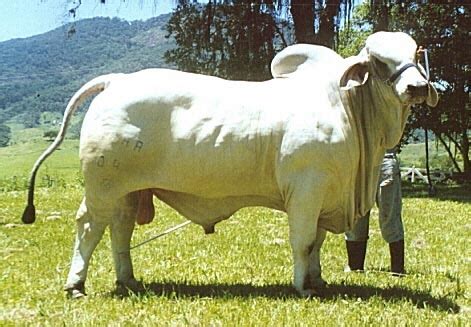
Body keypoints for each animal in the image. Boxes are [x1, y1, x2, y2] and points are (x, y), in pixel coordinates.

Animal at [22, 32, 438, 298]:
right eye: (378, 60)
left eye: (416, 53)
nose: (417, 88)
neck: (347, 109)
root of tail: (116, 81)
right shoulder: (307, 190)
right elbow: (303, 241)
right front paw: (302, 287)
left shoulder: (325, 196)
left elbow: (317, 243)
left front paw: (317, 280)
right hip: (103, 186)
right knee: (89, 228)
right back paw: (76, 285)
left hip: (130, 190)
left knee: (120, 231)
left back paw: (129, 281)